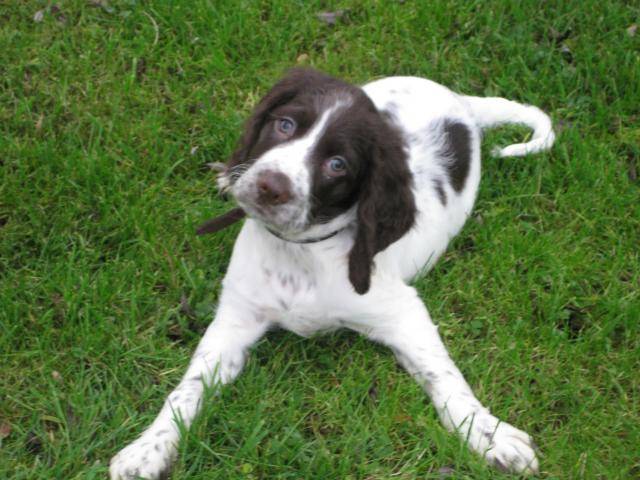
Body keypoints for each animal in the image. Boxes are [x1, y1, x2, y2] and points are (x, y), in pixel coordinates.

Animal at [110, 68, 554, 479]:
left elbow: (443, 374)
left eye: (337, 165)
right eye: (285, 125)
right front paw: (147, 448)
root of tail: (459, 102)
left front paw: (489, 433)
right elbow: (188, 387)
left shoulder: (404, 314)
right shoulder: (236, 319)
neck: (298, 251)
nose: (270, 186)